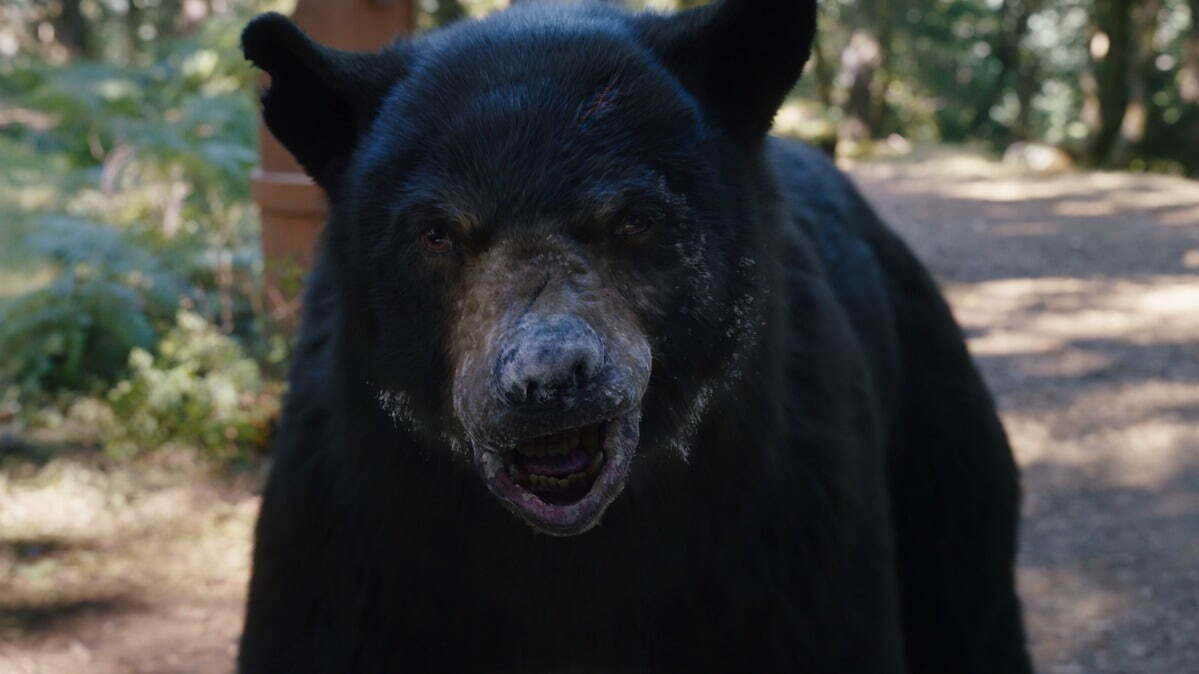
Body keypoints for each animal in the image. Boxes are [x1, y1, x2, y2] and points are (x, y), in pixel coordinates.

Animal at [240, 2, 1031, 666]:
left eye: (634, 218)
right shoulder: (341, 550)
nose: (548, 379)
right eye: (435, 234)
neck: (572, 561)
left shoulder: (797, 538)